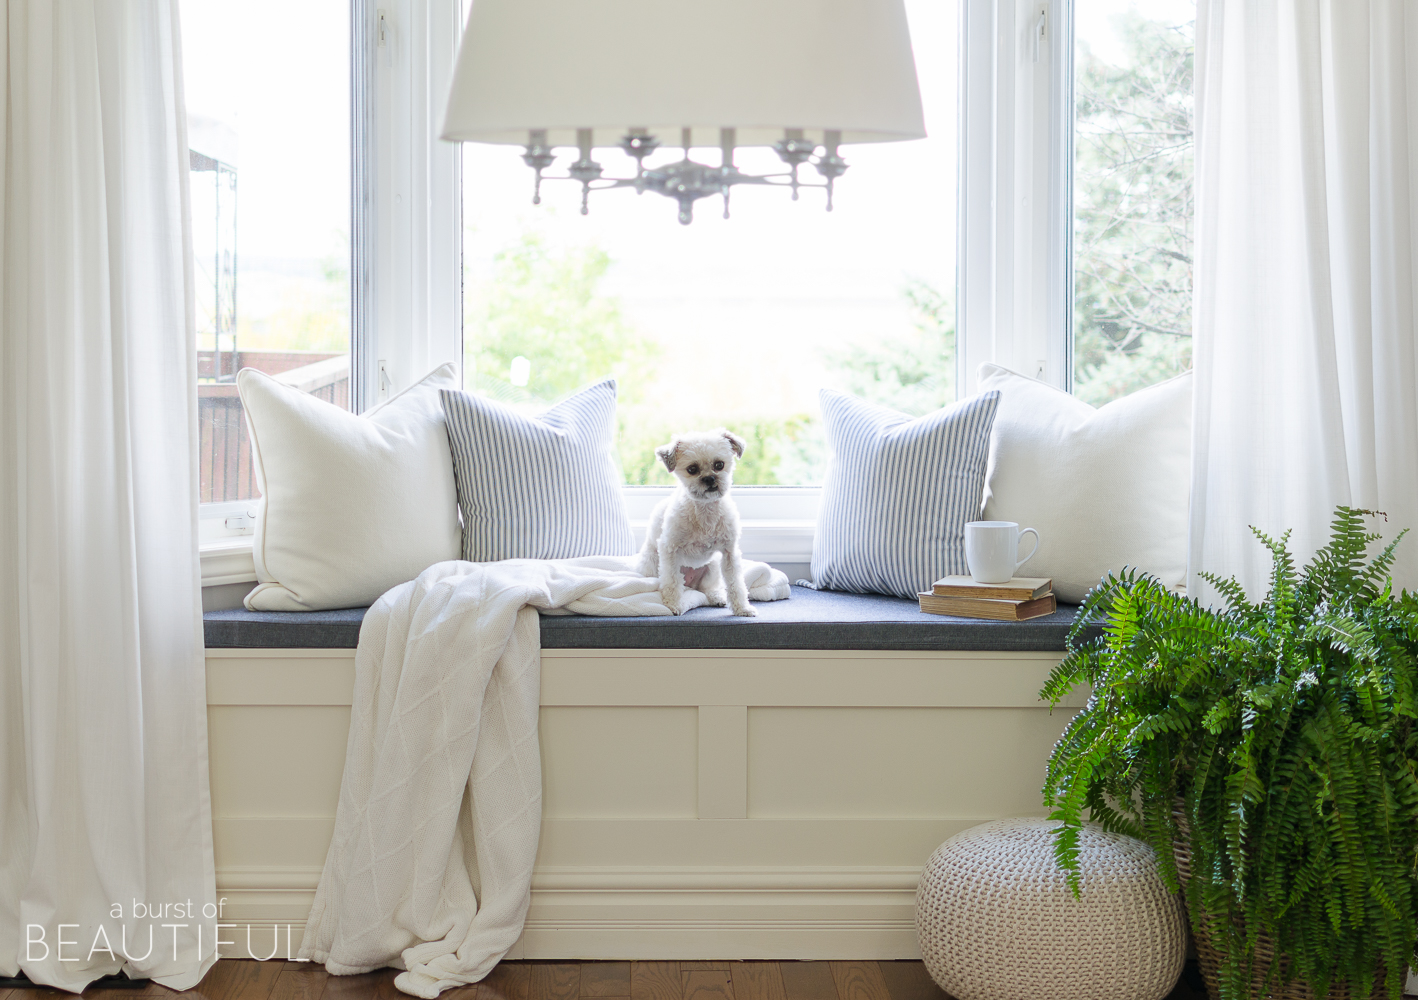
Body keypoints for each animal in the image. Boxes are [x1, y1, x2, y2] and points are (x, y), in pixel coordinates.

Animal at [638, 428, 760, 615]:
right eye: (692, 469)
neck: (705, 512)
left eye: (719, 465)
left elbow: (736, 584)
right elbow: (671, 581)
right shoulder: (669, 551)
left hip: (713, 567)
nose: (709, 478)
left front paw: (742, 608)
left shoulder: (729, 553)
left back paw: (717, 597)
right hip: (651, 564)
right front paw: (673, 605)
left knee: (706, 589)